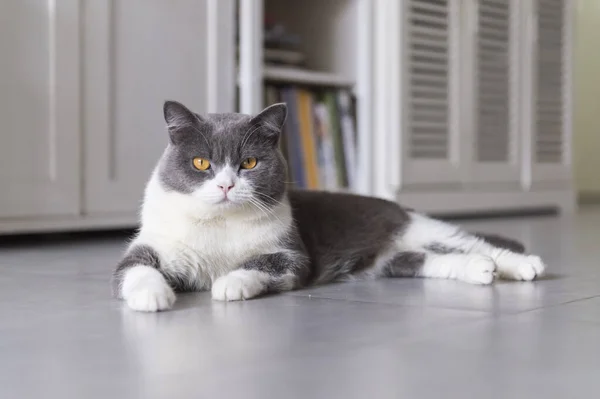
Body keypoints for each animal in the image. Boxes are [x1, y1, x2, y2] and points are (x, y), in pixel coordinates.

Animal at [110, 100, 548, 312]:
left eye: (248, 163)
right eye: (201, 163)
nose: (226, 184)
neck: (220, 224)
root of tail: (400, 210)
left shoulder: (291, 254)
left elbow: (260, 264)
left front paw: (230, 283)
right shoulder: (153, 246)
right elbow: (133, 269)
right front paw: (153, 297)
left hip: (421, 228)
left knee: (473, 242)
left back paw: (524, 265)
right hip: (393, 260)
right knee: (433, 260)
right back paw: (480, 271)